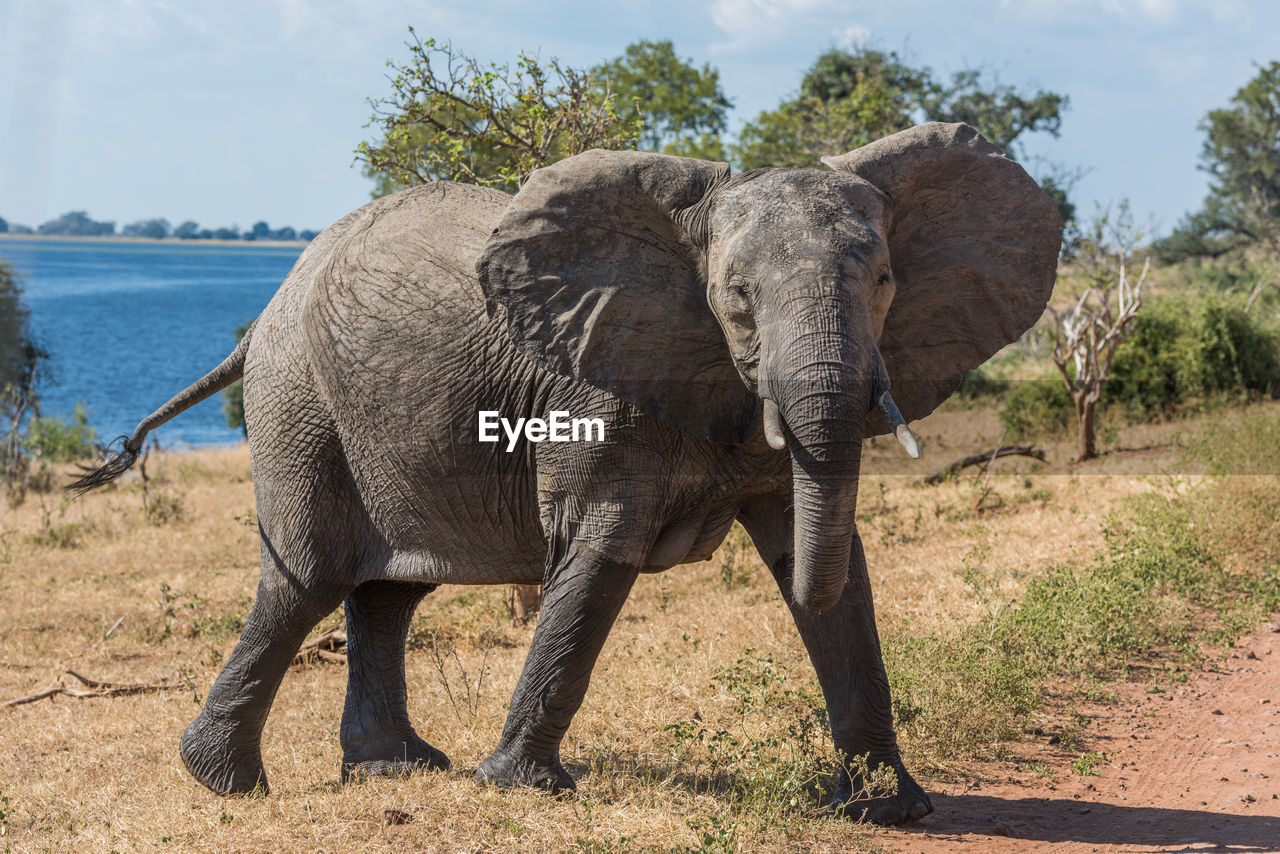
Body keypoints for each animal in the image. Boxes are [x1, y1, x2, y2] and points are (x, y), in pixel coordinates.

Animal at [72, 121, 1059, 829]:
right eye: (736, 298)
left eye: (887, 280)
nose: (840, 791)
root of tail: (263, 314)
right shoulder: (596, 391)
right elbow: (600, 552)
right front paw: (520, 788)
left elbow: (821, 556)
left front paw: (889, 808)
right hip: (298, 403)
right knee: (305, 580)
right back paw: (227, 785)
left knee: (387, 593)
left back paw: (395, 768)